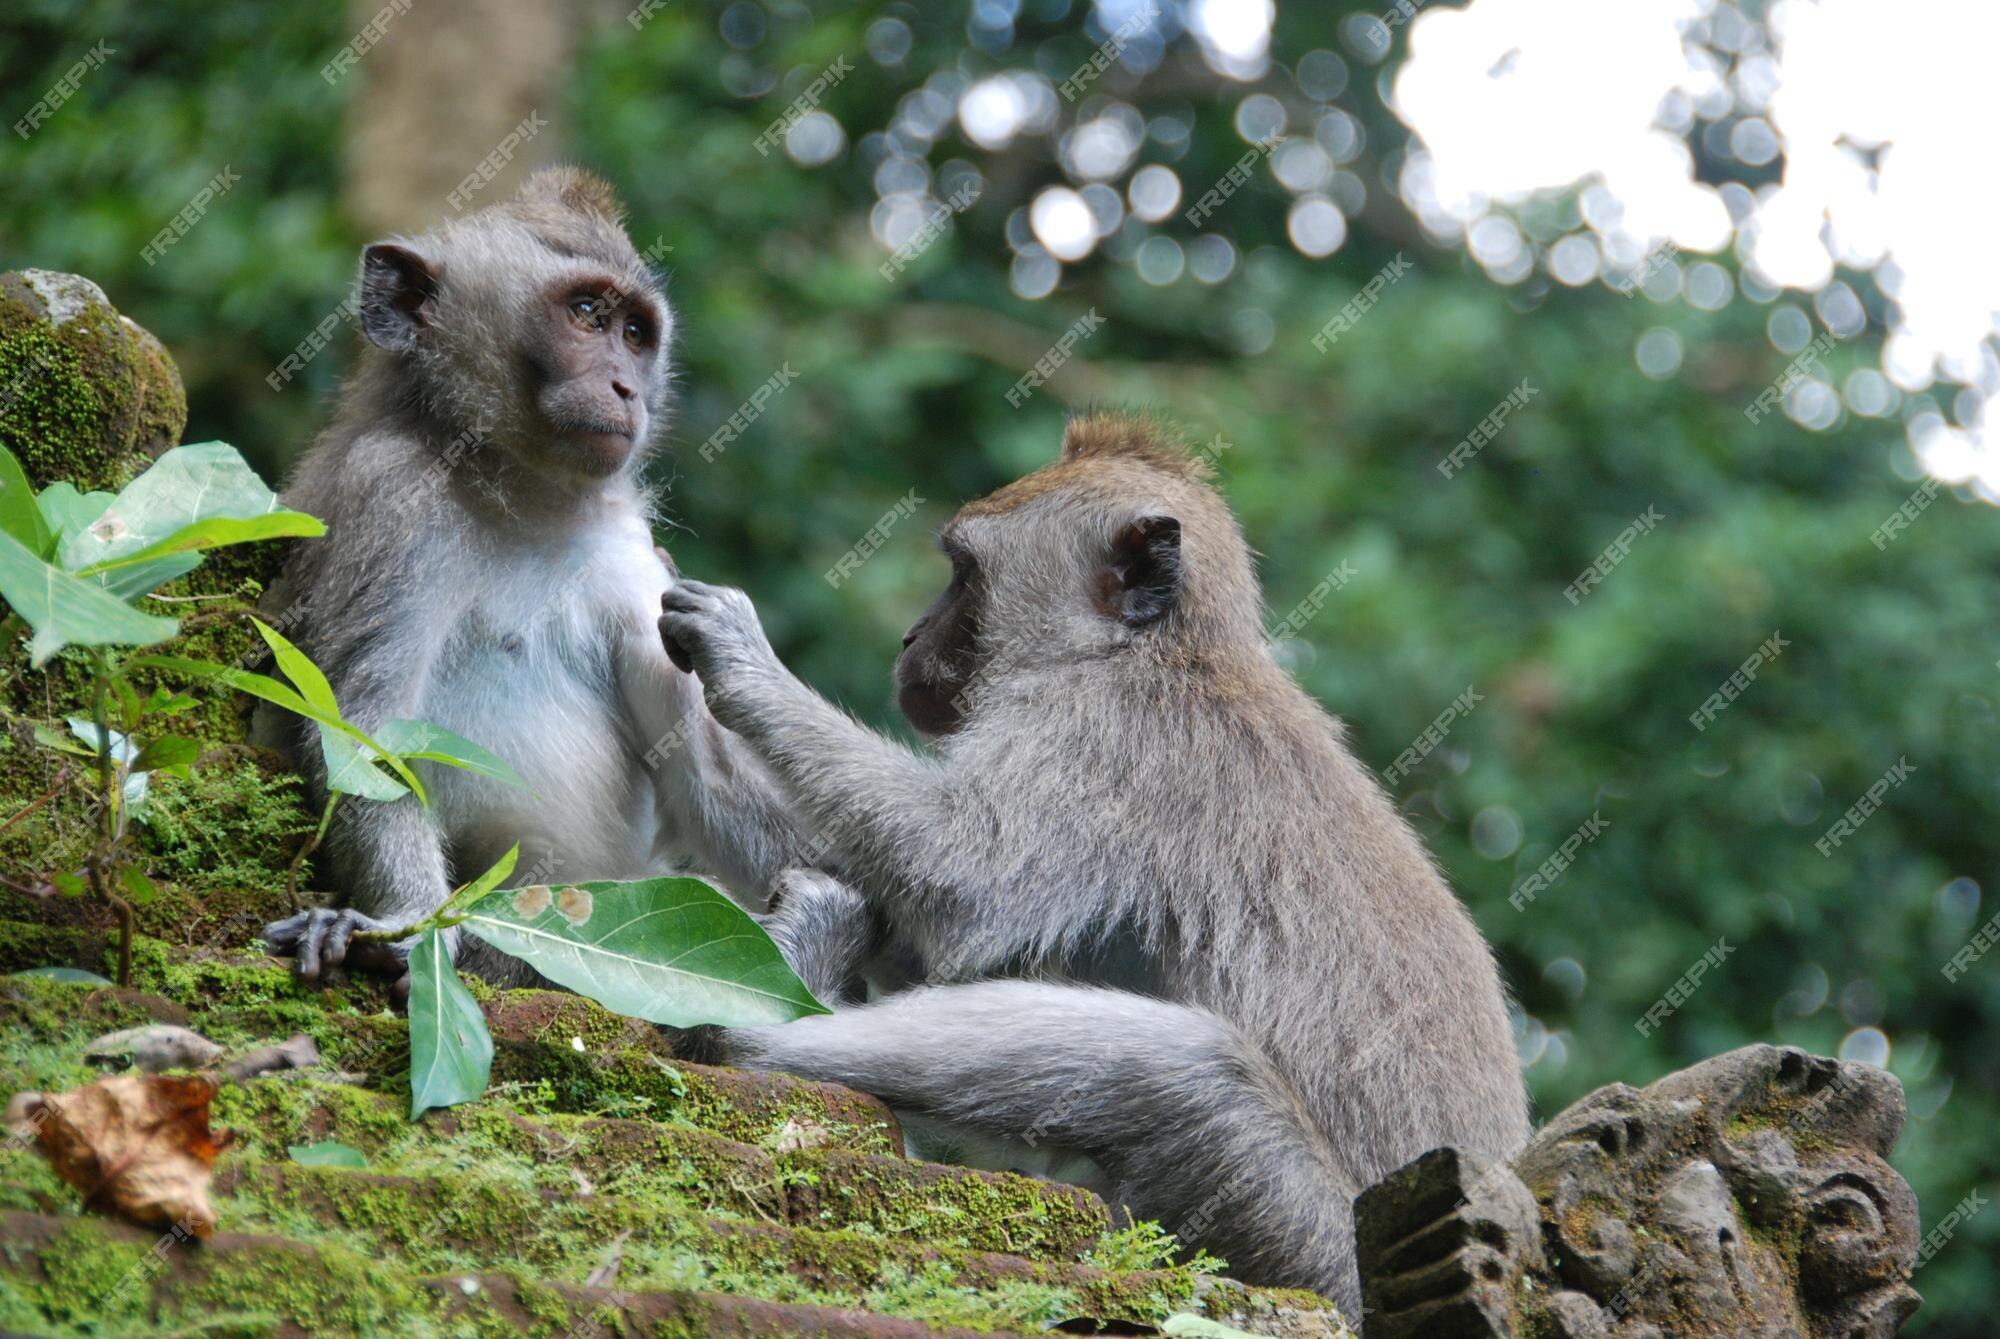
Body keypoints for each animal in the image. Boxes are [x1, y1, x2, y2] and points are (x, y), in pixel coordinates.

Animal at [262, 167, 808, 991]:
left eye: (636, 334)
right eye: (585, 314)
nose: (626, 388)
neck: (518, 494)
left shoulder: (632, 558)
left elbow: (704, 780)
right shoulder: (389, 494)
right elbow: (364, 731)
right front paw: (406, 925)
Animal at [660, 413, 1528, 1319]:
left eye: (962, 575)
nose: (909, 636)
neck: (1151, 652)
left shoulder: (1108, 739)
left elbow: (962, 881)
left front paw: (743, 666)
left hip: (1306, 1238)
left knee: (1185, 1072)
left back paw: (762, 1019)